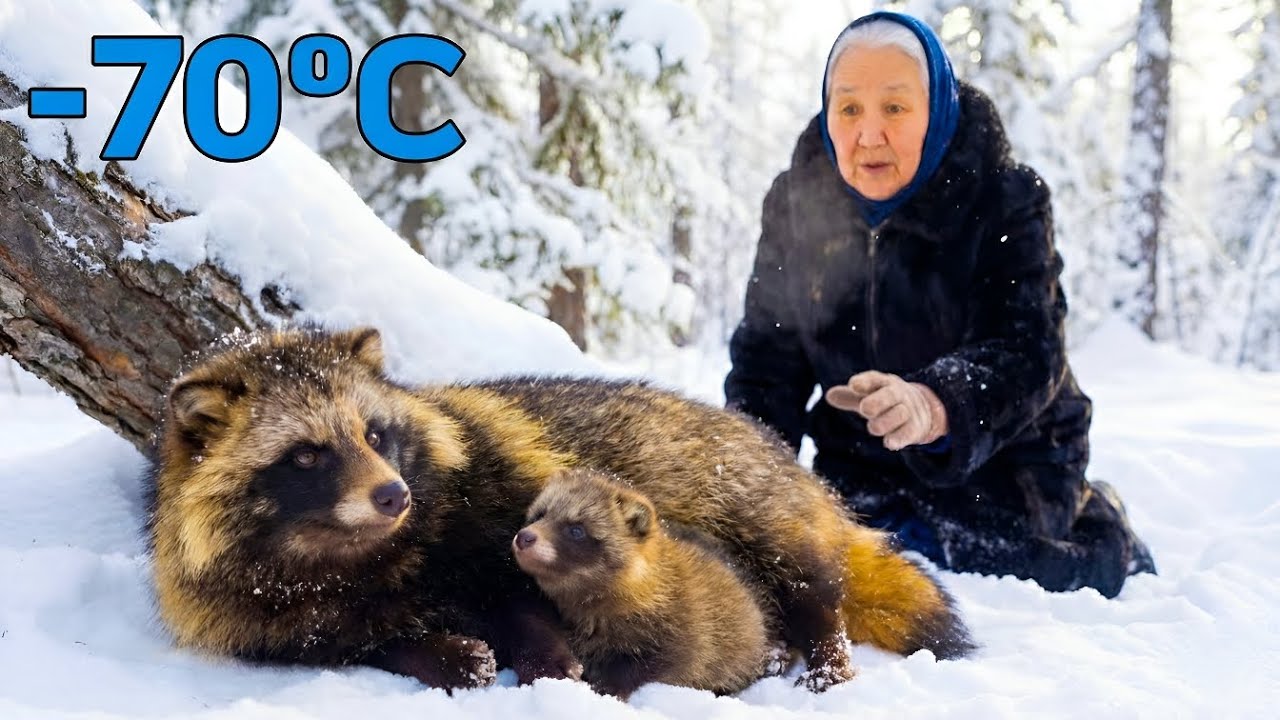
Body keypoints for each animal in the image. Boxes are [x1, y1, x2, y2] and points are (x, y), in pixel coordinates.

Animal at [514, 468, 775, 697]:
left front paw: (610, 686)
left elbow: (661, 662)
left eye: (577, 529)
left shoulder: (686, 630)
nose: (524, 537)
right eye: (540, 514)